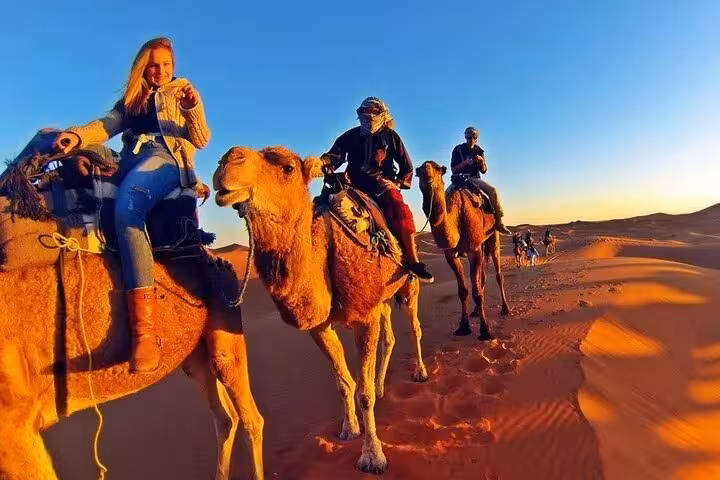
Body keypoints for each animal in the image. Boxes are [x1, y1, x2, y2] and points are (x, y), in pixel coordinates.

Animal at [213, 146, 429, 475]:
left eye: (288, 168)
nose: (228, 161)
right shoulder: (320, 326)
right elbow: (343, 382)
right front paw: (349, 429)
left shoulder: (364, 316)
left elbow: (363, 392)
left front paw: (373, 456)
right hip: (381, 299)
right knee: (388, 337)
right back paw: (382, 386)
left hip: (407, 284)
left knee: (414, 325)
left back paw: (419, 372)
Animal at [415, 161, 511, 340]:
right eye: (418, 173)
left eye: (439, 170)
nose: (428, 177)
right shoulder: (450, 255)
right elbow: (464, 290)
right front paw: (463, 326)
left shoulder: (474, 250)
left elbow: (476, 292)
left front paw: (485, 330)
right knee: (482, 279)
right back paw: (475, 312)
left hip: (493, 235)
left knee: (498, 274)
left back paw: (505, 308)